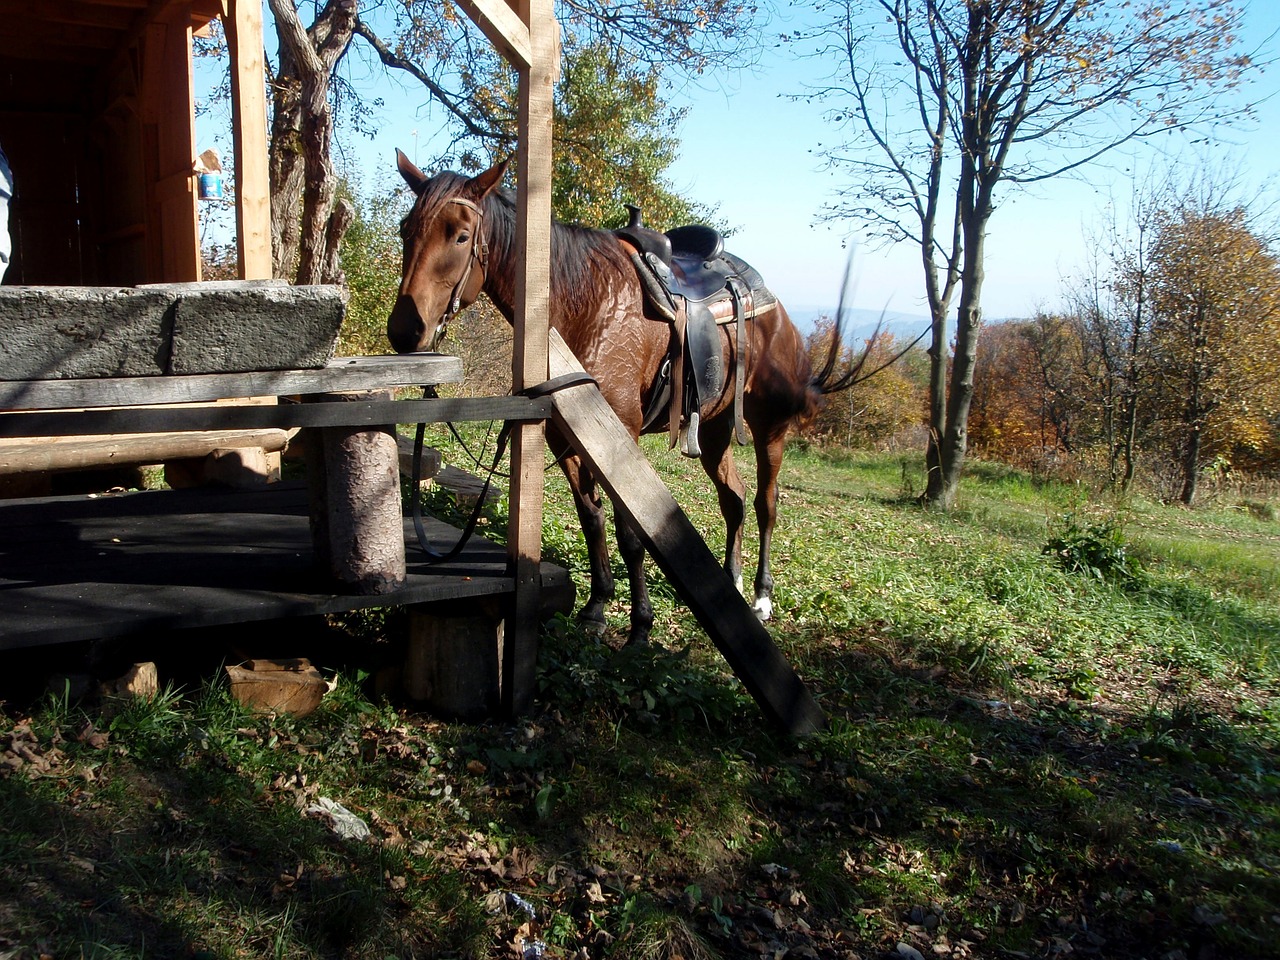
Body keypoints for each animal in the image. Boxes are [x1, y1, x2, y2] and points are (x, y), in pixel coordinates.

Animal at [389, 152, 870, 647]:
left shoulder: (622, 438)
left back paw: (761, 596)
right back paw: (732, 582)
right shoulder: (566, 438)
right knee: (733, 499)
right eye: (407, 229)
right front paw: (597, 606)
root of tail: (775, 308)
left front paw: (640, 623)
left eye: (462, 235)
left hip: (770, 427)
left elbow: (631, 533)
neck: (581, 304)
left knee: (765, 504)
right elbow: (592, 519)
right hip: (715, 430)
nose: (405, 331)